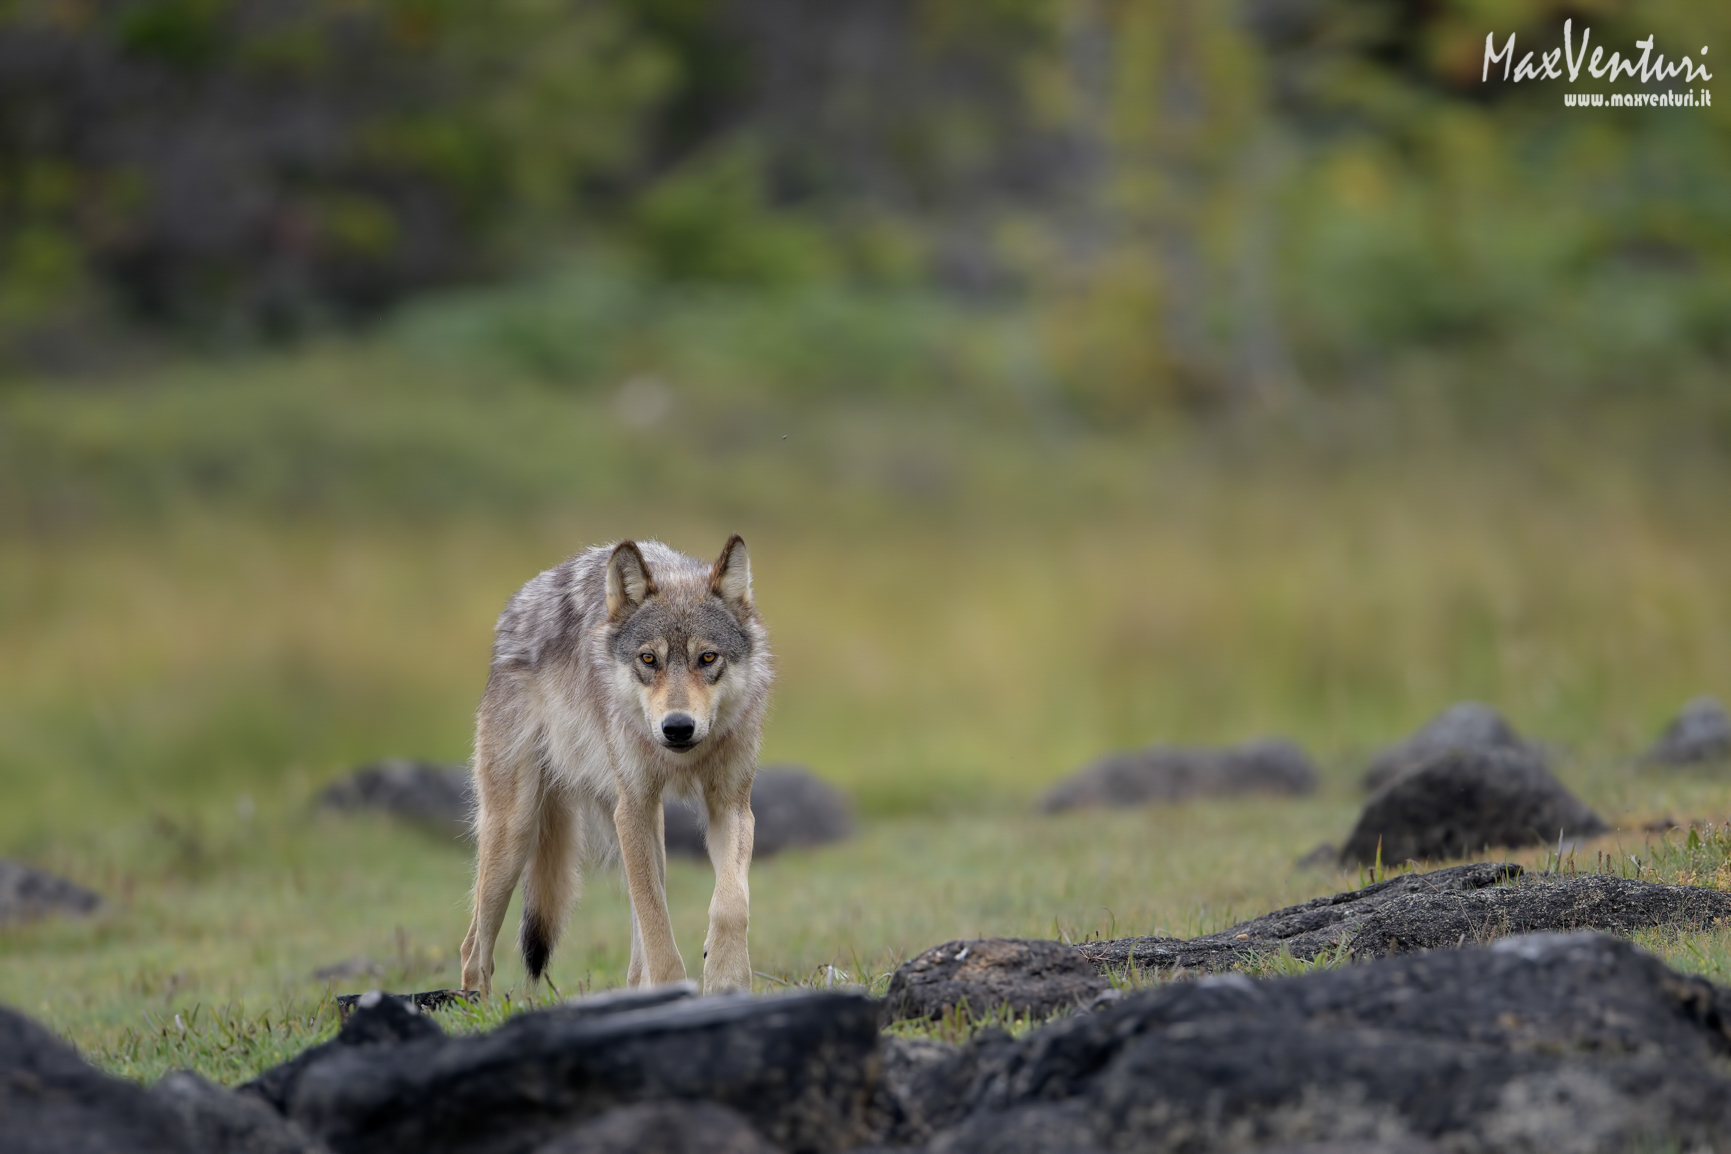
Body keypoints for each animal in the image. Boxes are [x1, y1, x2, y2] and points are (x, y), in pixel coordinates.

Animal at [459, 535, 772, 996]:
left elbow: (731, 903)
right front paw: (674, 989)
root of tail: (515, 608)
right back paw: (477, 1006)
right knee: (472, 949)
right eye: (648, 659)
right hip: (517, 832)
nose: (677, 727)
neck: (682, 758)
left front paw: (726, 979)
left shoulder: (730, 806)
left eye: (707, 658)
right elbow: (658, 928)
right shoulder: (634, 808)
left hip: (642, 825)